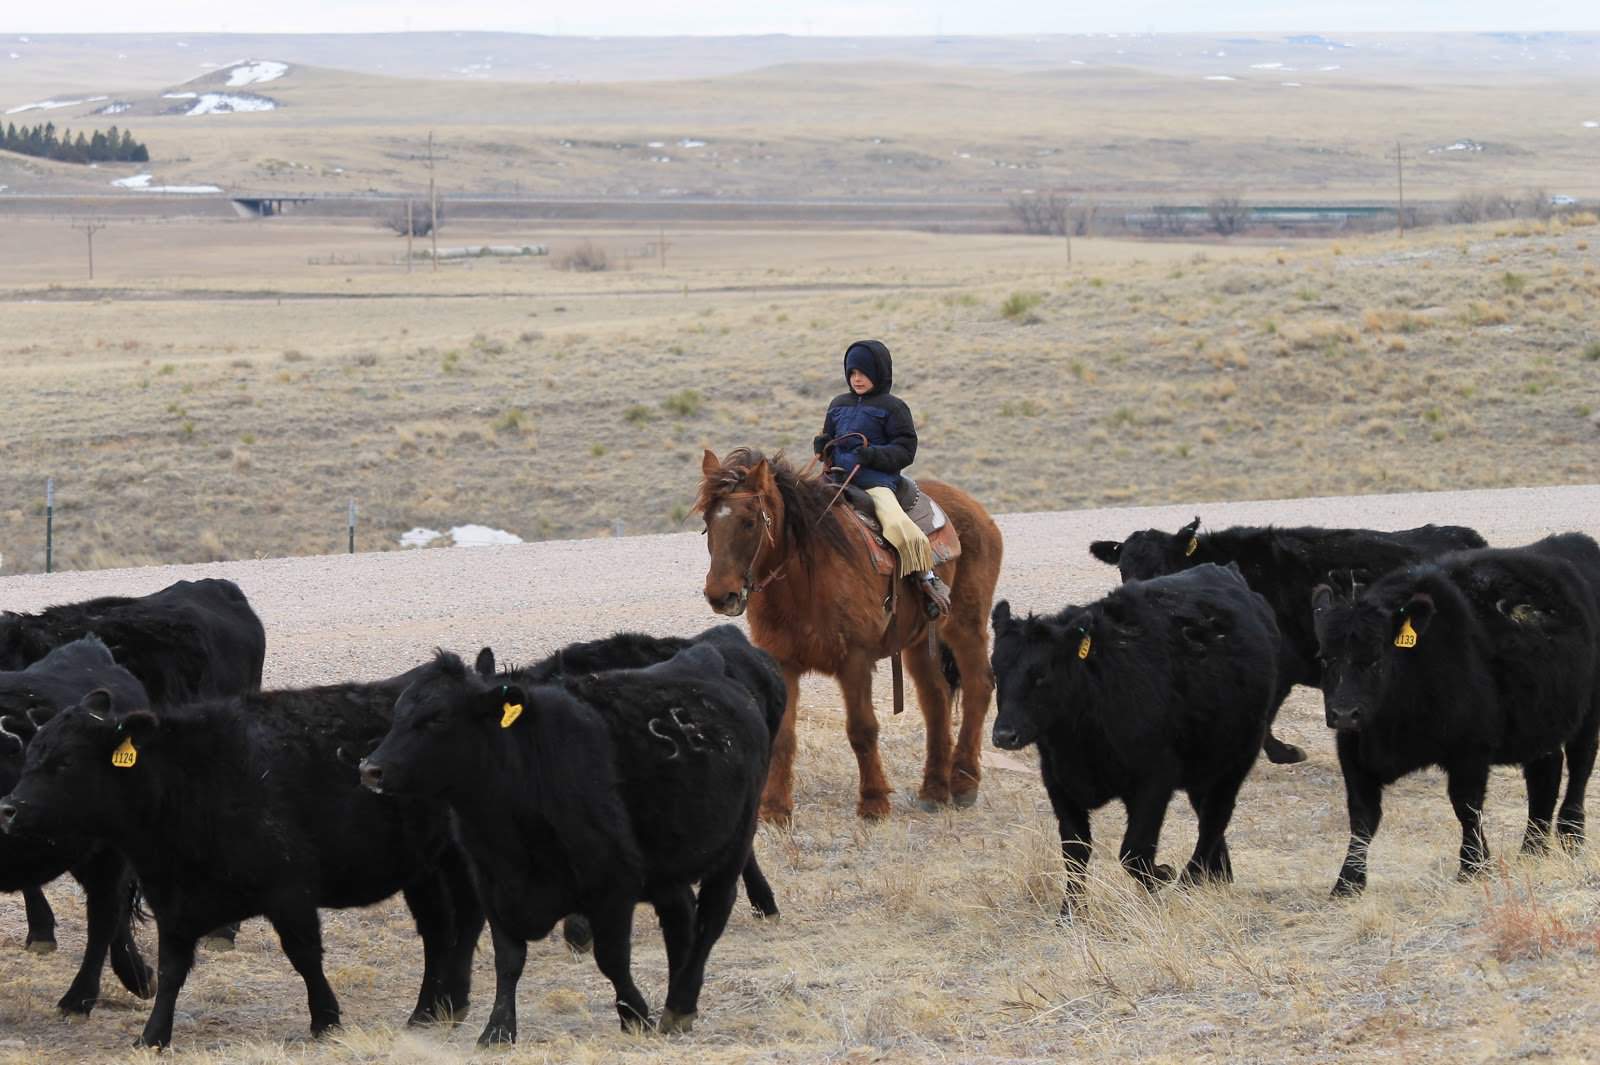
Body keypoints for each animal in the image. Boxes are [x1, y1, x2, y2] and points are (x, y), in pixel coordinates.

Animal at [358, 636, 775, 1044]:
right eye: (397, 714)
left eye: (438, 718)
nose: (370, 769)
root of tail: (702, 660)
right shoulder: (492, 883)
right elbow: (508, 960)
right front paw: (497, 1030)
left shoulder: (612, 887)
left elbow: (612, 958)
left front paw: (635, 1015)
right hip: (665, 866)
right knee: (681, 917)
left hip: (734, 842)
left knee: (711, 918)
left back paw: (681, 1003)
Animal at [695, 447, 1003, 824]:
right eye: (708, 521)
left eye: (750, 522)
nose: (719, 594)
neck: (806, 579)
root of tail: (976, 510)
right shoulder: (783, 662)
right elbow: (784, 735)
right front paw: (775, 809)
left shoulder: (855, 660)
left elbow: (862, 728)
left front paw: (873, 802)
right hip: (918, 644)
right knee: (936, 699)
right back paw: (933, 789)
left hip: (965, 625)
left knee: (978, 686)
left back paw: (963, 782)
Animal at [990, 563, 1280, 920]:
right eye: (995, 672)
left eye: (1041, 674)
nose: (1004, 735)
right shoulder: (1058, 782)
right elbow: (1075, 850)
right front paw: (1070, 912)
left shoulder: (1155, 779)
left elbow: (1134, 850)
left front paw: (1162, 876)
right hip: (1205, 763)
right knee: (1208, 815)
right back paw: (1219, 875)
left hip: (1237, 758)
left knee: (1214, 818)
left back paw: (1189, 879)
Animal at [1311, 533, 1600, 896]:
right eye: (1325, 658)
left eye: (1376, 658)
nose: (1344, 713)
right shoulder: (1352, 750)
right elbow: (1362, 816)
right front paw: (1347, 882)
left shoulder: (1470, 750)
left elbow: (1466, 806)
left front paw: (1473, 866)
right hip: (1539, 719)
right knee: (1544, 773)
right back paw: (1532, 848)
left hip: (1588, 714)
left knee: (1579, 766)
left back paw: (1571, 835)